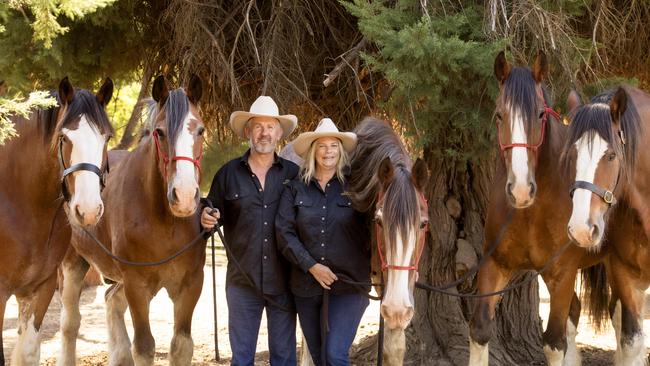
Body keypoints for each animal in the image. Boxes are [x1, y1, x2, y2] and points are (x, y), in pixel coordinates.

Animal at [58, 75, 206, 366]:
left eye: (201, 131)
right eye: (160, 132)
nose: (184, 196)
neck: (165, 223)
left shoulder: (191, 284)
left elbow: (181, 345)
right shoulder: (136, 286)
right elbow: (145, 347)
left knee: (111, 300)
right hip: (74, 263)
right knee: (70, 323)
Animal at [466, 52, 604, 366]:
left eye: (540, 114)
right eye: (499, 115)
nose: (520, 190)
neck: (531, 211)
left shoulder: (562, 273)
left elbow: (553, 343)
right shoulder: (495, 265)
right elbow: (480, 331)